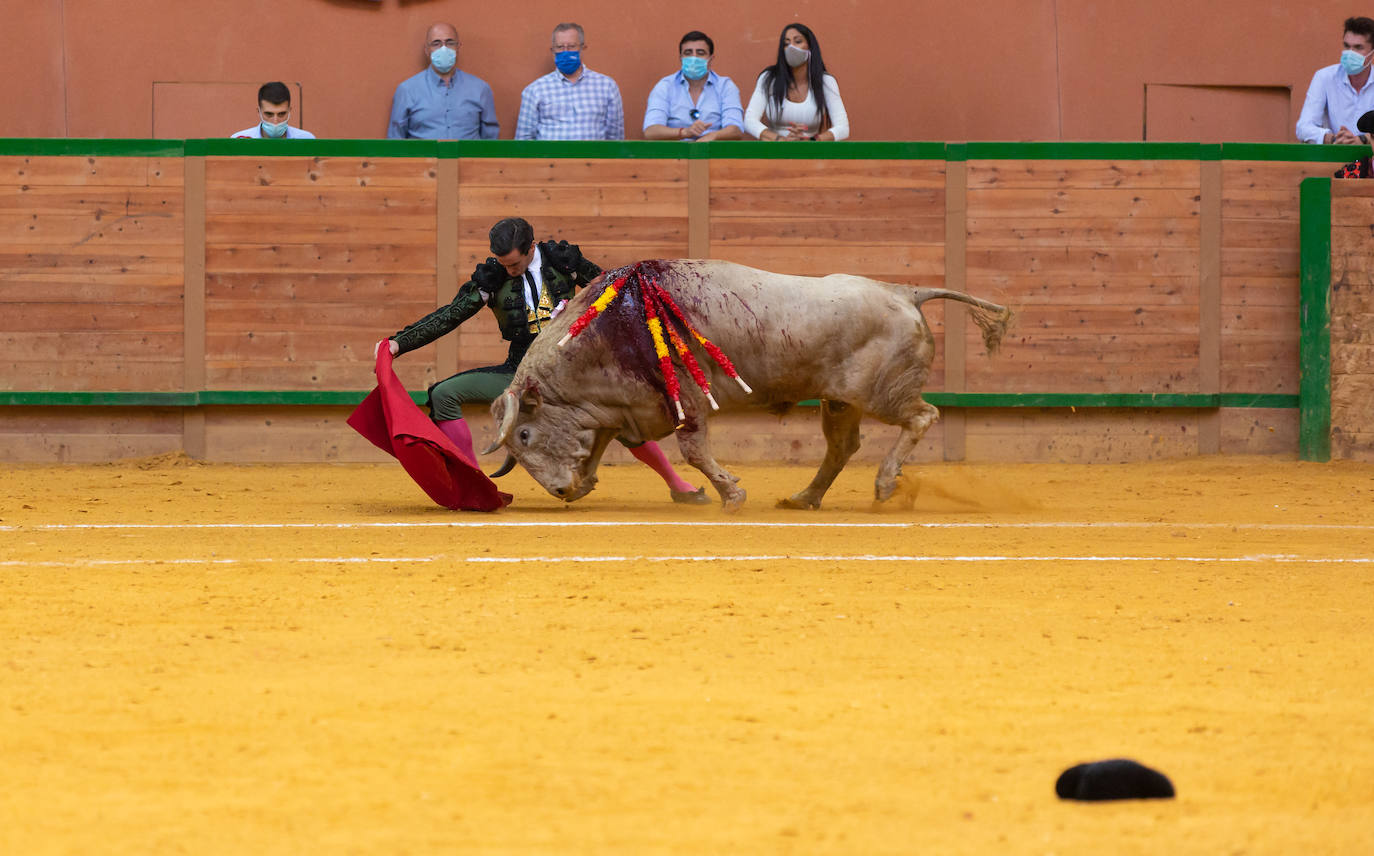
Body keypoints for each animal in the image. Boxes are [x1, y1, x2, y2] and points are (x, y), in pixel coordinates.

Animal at [483, 258, 1011, 511]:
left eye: (524, 434)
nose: (556, 490)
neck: (609, 329)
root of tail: (903, 290)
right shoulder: (621, 410)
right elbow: (597, 448)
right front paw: (584, 484)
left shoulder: (684, 402)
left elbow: (694, 451)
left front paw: (731, 496)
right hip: (839, 401)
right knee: (842, 446)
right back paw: (804, 499)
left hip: (883, 394)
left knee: (923, 416)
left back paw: (883, 484)